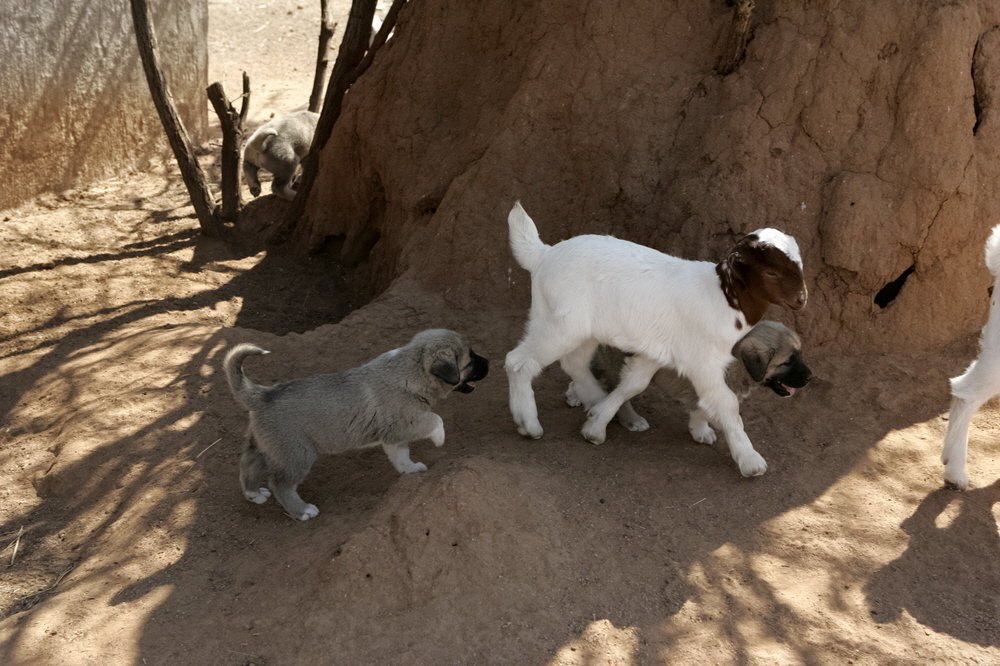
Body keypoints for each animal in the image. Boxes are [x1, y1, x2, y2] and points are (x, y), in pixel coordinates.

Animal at [228, 328, 492, 520]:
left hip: (264, 445)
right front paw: (439, 438)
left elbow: (401, 456)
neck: (411, 370)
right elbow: (435, 419)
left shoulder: (393, 437)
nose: (489, 362)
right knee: (280, 484)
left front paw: (410, 469)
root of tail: (262, 394)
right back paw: (302, 511)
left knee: (248, 464)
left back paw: (254, 494)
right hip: (296, 454)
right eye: (470, 360)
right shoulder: (405, 423)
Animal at [564, 320, 812, 444]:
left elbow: (700, 410)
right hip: (620, 363)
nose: (810, 377)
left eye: (799, 355)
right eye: (788, 361)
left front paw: (701, 430)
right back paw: (630, 420)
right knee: (618, 393)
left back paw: (574, 395)